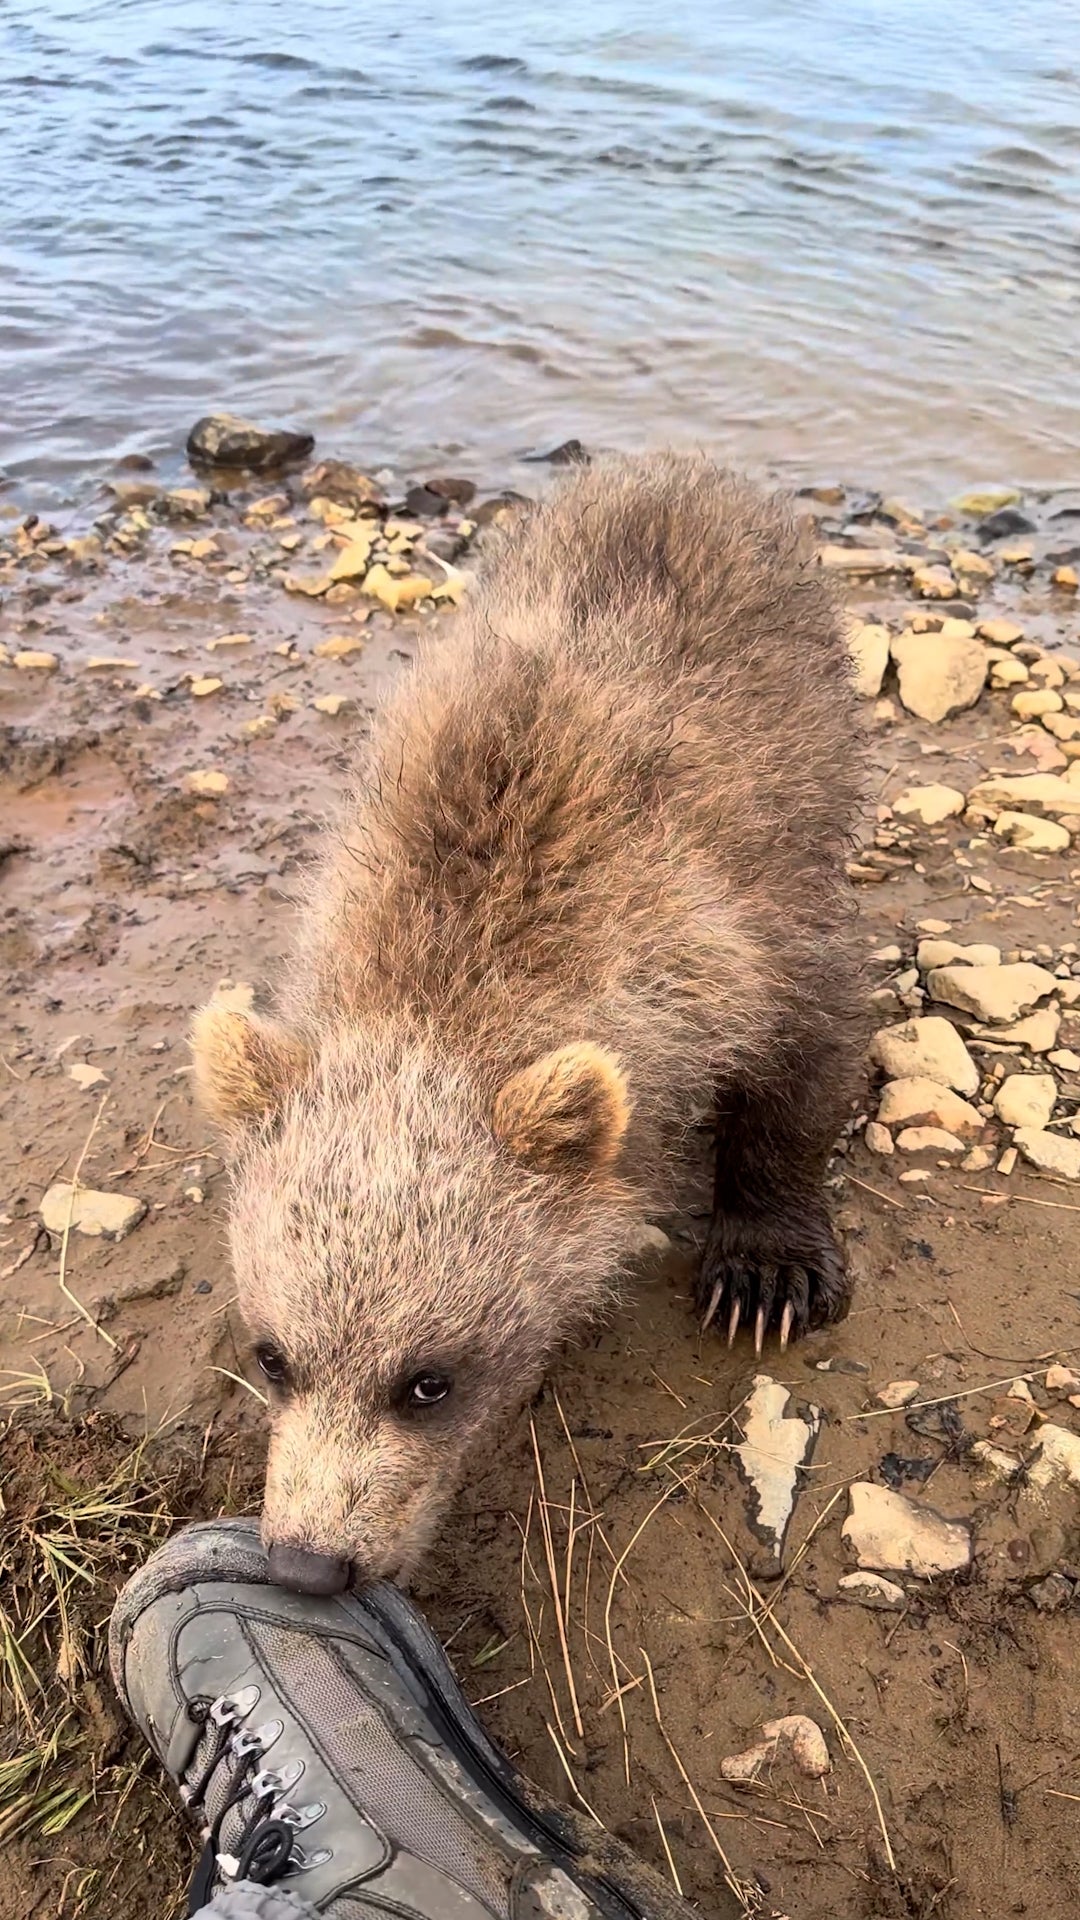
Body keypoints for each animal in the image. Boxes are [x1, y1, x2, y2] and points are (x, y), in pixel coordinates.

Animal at [192, 453, 867, 1594]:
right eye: (273, 1354)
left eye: (429, 1380)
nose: (309, 1565)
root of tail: (680, 464)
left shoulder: (742, 925)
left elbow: (804, 1062)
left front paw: (766, 1270)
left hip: (814, 724)